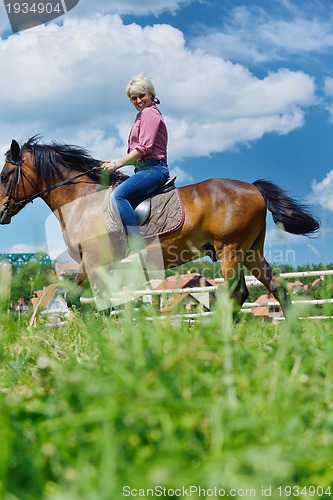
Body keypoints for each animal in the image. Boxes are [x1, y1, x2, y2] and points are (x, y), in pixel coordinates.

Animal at [0, 137, 320, 322]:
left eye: (4, 176)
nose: (1, 213)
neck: (83, 201)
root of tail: (254, 188)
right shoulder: (96, 265)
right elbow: (85, 302)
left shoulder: (93, 261)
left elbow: (83, 301)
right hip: (251, 252)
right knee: (277, 287)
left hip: (230, 250)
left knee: (237, 292)